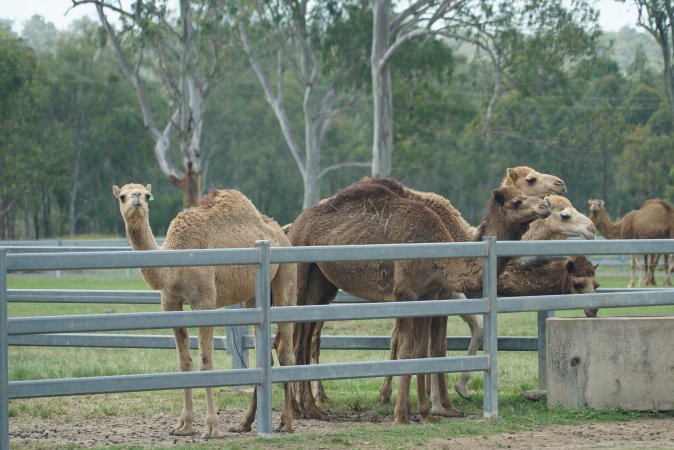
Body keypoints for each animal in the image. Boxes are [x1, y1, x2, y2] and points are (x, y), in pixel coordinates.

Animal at [112, 183, 297, 437]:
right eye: (122, 196)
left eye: (147, 195)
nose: (137, 198)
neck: (175, 264)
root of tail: (281, 231)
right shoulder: (170, 303)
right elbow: (184, 361)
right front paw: (184, 426)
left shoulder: (205, 299)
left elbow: (206, 361)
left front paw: (211, 428)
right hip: (253, 294)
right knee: (266, 353)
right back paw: (244, 423)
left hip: (285, 276)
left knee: (286, 350)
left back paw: (285, 423)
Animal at [287, 176, 551, 425]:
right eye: (516, 202)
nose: (546, 205)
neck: (439, 254)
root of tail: (295, 224)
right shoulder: (405, 293)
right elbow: (406, 351)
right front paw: (402, 415)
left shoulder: (428, 294)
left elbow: (421, 352)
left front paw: (426, 414)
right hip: (300, 272)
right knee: (296, 339)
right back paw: (307, 409)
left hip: (323, 284)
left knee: (305, 338)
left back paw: (308, 409)